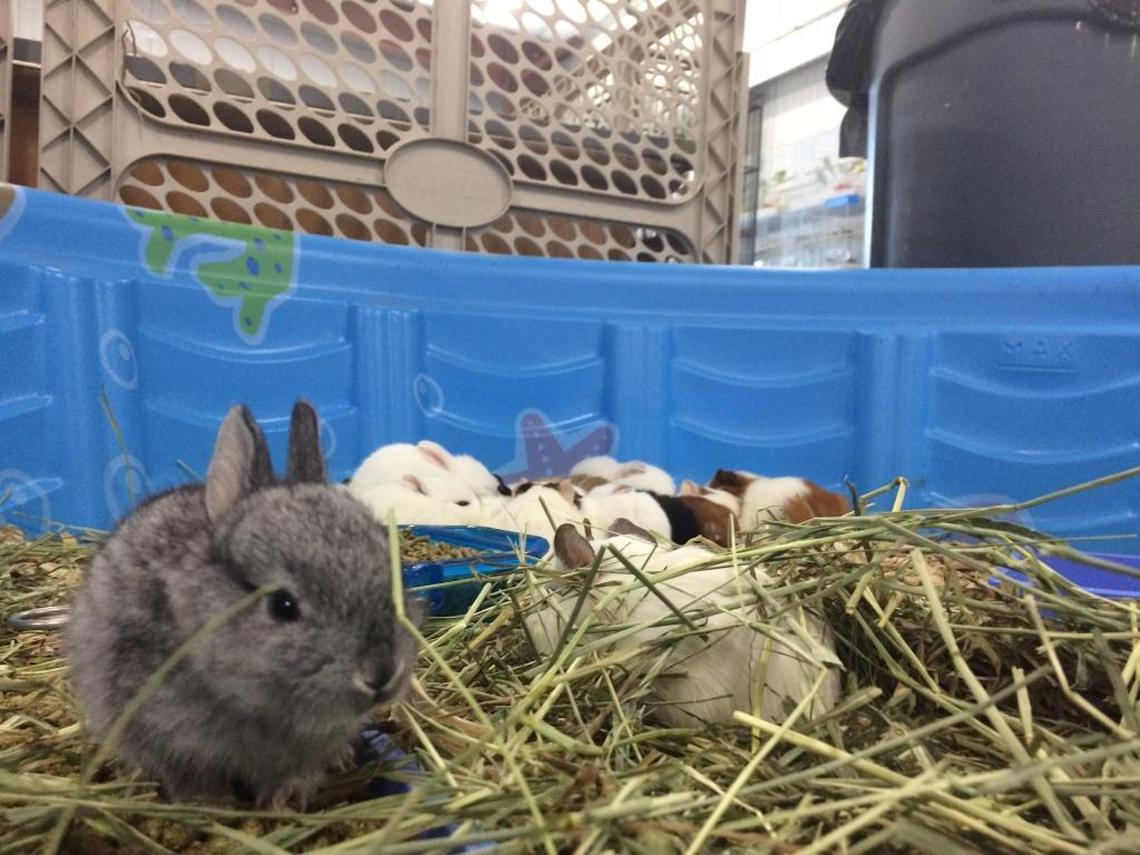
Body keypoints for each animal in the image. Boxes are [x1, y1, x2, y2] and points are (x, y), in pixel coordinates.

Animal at [65, 401, 420, 808]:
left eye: (393, 574)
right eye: (283, 605)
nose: (381, 673)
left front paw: (288, 798)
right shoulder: (163, 735)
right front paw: (211, 803)